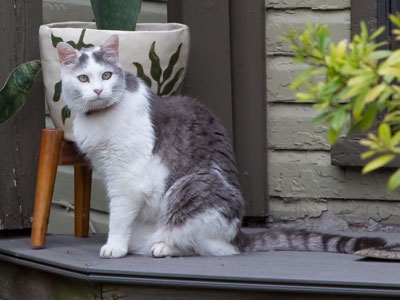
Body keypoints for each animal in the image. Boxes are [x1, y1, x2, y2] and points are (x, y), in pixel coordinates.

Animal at [56, 34, 384, 258]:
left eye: (107, 75)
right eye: (83, 78)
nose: (98, 90)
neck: (100, 118)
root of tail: (238, 233)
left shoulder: (127, 180)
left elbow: (118, 216)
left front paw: (114, 246)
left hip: (192, 188)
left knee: (208, 246)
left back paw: (164, 247)